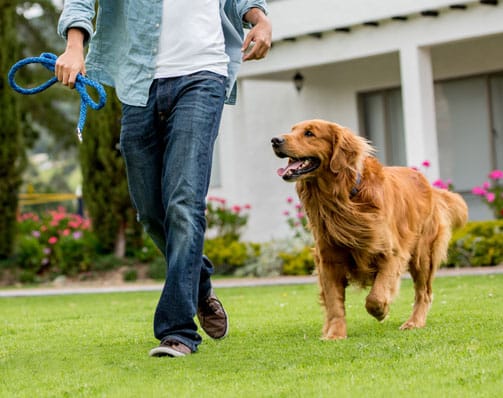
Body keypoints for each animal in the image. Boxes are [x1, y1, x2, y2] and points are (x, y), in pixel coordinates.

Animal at [272, 118, 468, 338]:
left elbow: (375, 296)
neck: (344, 197)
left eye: (309, 133)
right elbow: (334, 303)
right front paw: (335, 334)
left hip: (423, 254)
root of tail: (428, 184)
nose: (275, 140)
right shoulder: (328, 259)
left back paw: (414, 322)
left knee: (424, 293)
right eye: (292, 130)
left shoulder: (391, 253)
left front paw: (381, 311)